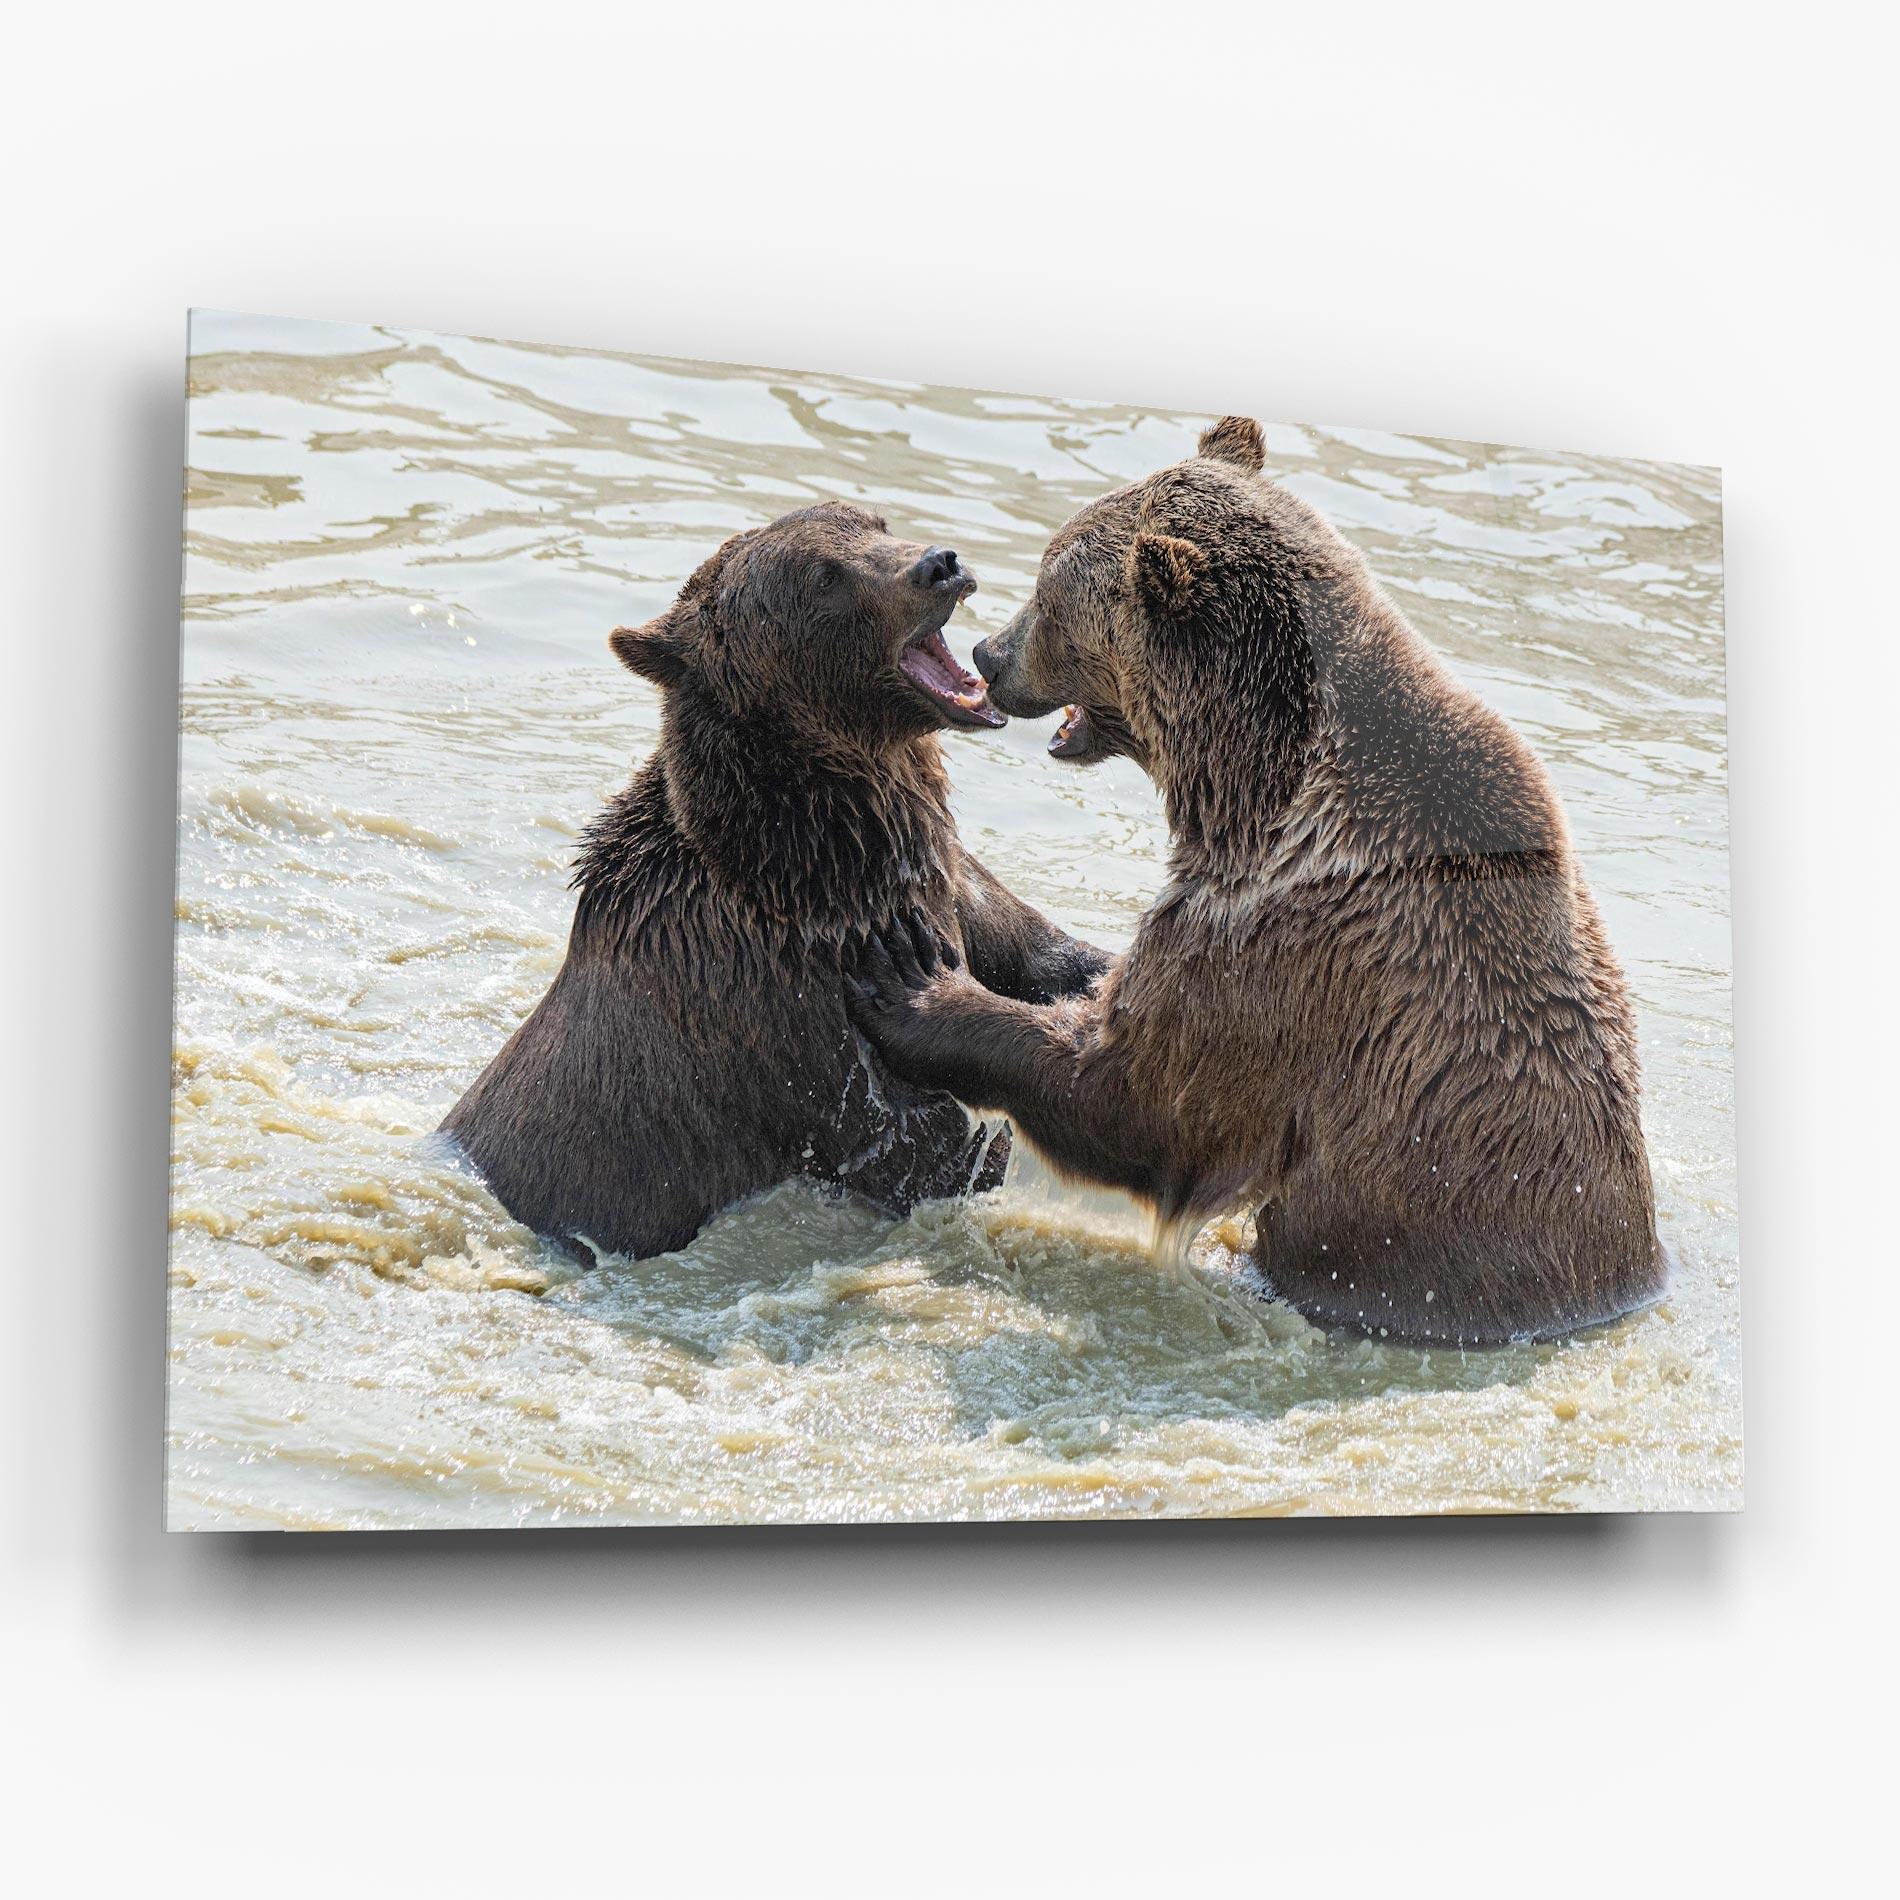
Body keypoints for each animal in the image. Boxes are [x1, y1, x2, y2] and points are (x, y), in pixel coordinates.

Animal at [442, 500, 1109, 1261]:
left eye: (873, 521)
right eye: (825, 576)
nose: (940, 563)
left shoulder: (948, 881)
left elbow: (1045, 954)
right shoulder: (793, 1014)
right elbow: (927, 1145)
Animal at [845, 418, 1665, 1347]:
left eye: (1052, 598)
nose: (990, 651)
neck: (1254, 790)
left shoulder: (1286, 950)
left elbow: (1138, 1094)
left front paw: (913, 985)